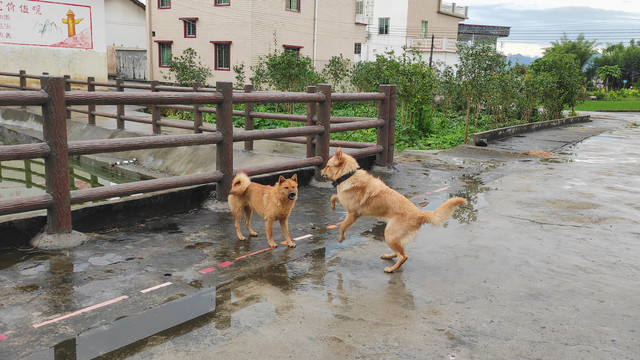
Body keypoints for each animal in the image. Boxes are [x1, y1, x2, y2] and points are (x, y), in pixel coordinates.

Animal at [322, 148, 468, 272]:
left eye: (327, 166)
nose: (320, 172)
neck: (348, 175)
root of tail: (420, 215)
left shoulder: (353, 213)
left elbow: (342, 226)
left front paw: (341, 238)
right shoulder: (344, 200)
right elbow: (334, 196)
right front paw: (333, 205)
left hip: (390, 235)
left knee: (403, 256)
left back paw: (391, 269)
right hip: (392, 236)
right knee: (399, 252)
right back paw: (389, 256)